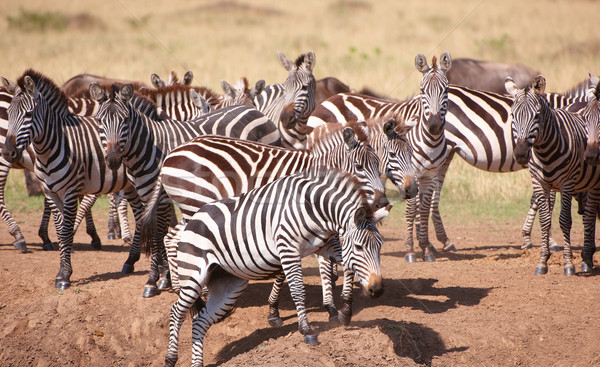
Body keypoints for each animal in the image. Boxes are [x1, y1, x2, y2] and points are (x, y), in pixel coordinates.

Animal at [2, 70, 148, 292]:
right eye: (9, 114)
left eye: (28, 114)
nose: (8, 152)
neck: (53, 146)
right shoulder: (51, 191)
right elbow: (61, 229)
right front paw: (63, 270)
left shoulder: (71, 190)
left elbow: (66, 229)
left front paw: (64, 275)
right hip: (130, 185)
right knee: (140, 214)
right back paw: (131, 260)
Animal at [162, 168, 382, 366]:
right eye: (359, 246)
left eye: (380, 246)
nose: (377, 290)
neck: (314, 209)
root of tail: (193, 219)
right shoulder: (288, 248)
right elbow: (298, 290)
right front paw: (307, 330)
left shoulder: (326, 247)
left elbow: (350, 266)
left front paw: (346, 310)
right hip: (193, 275)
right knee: (176, 312)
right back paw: (170, 357)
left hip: (229, 285)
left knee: (199, 321)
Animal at [506, 75, 600, 276]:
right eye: (512, 116)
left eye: (536, 116)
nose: (521, 154)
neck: (545, 151)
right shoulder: (539, 183)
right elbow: (545, 221)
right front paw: (542, 261)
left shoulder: (567, 183)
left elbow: (565, 221)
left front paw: (568, 264)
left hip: (594, 183)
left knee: (588, 215)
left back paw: (587, 259)